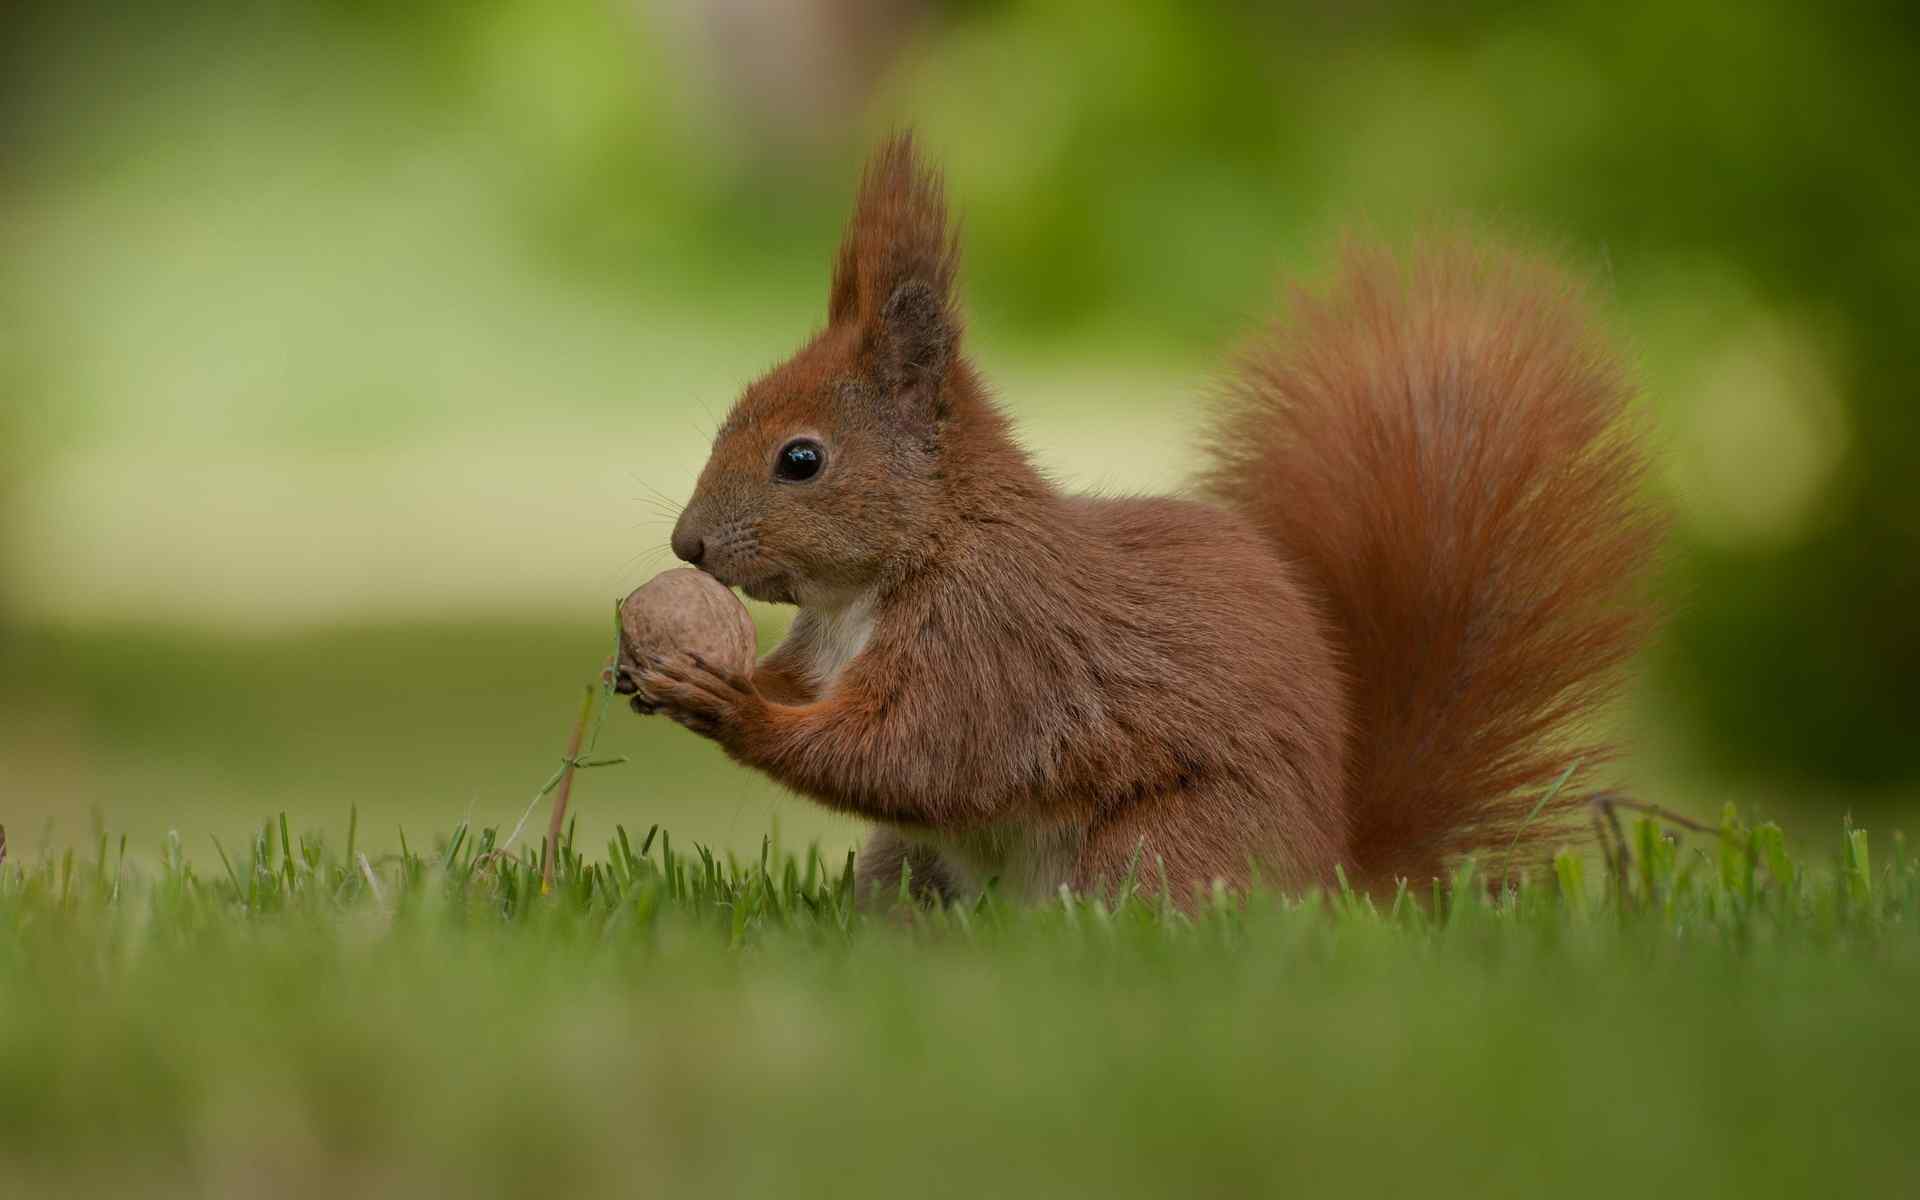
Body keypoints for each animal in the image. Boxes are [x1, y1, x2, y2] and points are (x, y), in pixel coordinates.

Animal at [622, 133, 1658, 898]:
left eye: (802, 460)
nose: (687, 543)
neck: (885, 578)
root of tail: (1332, 879)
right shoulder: (834, 649)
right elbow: (816, 698)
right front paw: (661, 673)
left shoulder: (995, 646)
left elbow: (908, 756)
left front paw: (733, 707)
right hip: (906, 867)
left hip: (1159, 849)